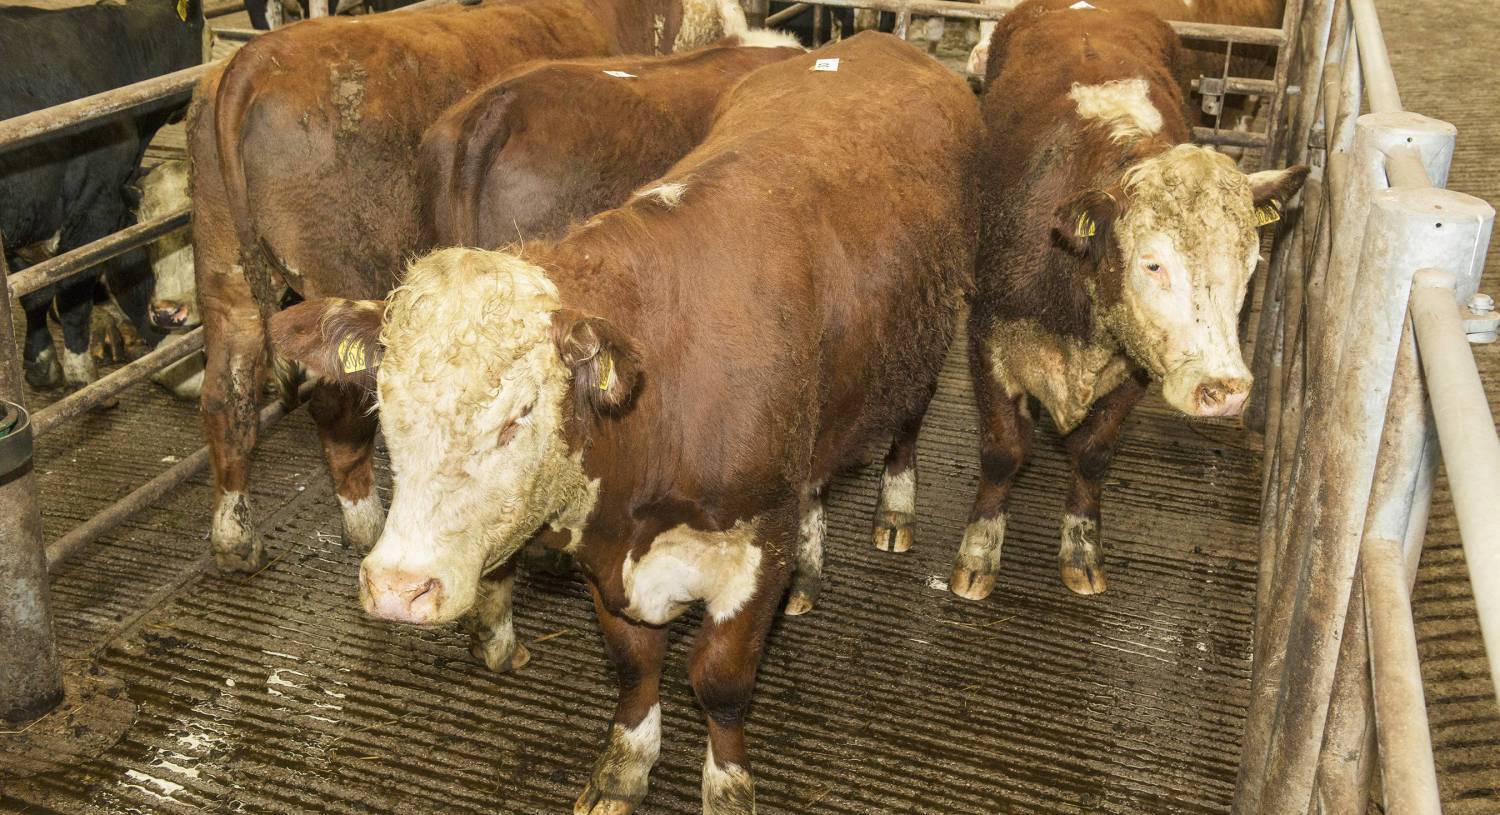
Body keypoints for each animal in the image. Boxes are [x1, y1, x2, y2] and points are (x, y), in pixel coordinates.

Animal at [0, 0, 205, 392]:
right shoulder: (96, 206)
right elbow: (72, 293)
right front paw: (83, 378)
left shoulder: (31, 225)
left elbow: (34, 294)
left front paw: (41, 364)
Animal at [187, 0, 750, 591]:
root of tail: (252, 62)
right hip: (345, 269)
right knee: (335, 405)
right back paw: (365, 524)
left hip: (224, 267)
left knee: (227, 397)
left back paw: (236, 541)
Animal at [948, 0, 1305, 602]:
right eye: (1153, 263)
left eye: (1251, 264)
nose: (1226, 391)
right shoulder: (987, 337)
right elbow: (1002, 451)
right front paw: (978, 554)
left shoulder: (1138, 366)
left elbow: (1093, 454)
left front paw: (1081, 549)